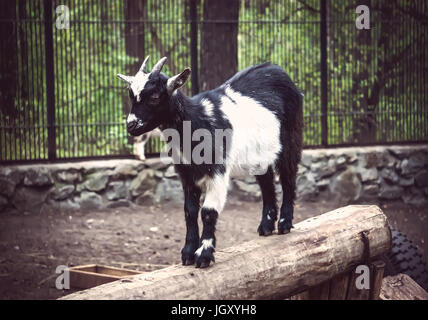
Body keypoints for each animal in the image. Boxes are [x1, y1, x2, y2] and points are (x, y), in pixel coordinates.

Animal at [118, 57, 304, 268]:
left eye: (155, 96)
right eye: (131, 95)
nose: (131, 125)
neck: (198, 120)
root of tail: (279, 71)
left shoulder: (218, 171)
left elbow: (208, 211)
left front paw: (204, 255)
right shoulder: (186, 174)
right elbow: (189, 211)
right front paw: (188, 252)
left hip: (291, 138)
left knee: (289, 179)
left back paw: (284, 224)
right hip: (259, 155)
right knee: (267, 183)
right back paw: (266, 226)